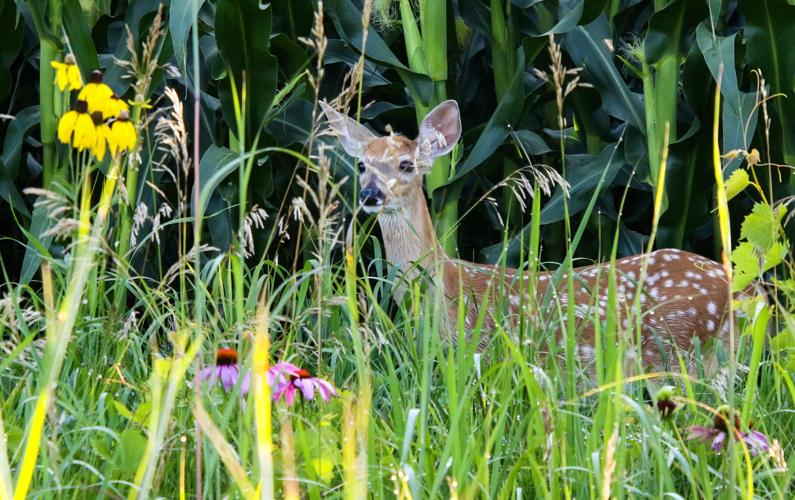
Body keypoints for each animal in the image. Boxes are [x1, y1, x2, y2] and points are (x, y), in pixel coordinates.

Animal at [320, 99, 748, 375]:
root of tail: (734, 288)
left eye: (407, 164)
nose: (370, 195)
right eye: (362, 165)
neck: (447, 286)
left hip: (675, 350)